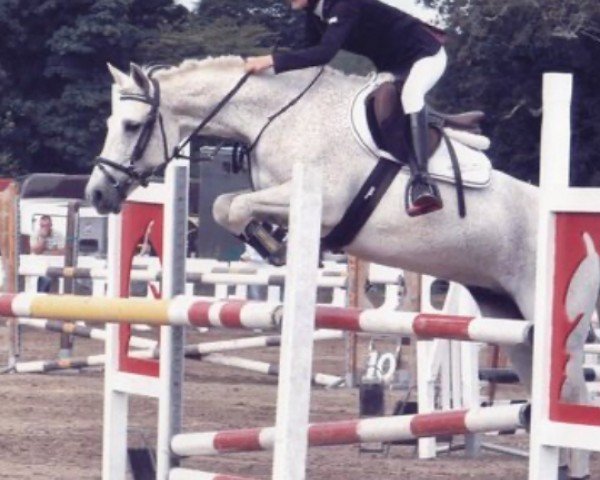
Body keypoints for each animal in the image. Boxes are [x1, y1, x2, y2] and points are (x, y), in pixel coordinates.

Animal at [86, 55, 588, 476]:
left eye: (131, 125)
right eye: (112, 122)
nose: (96, 194)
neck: (279, 117)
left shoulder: (321, 201)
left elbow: (233, 206)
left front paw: (272, 244)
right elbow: (227, 205)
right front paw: (269, 240)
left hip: (548, 312)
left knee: (572, 393)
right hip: (509, 318)